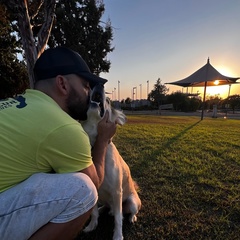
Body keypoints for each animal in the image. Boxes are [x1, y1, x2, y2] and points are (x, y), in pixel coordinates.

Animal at [81, 84, 141, 240]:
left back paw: (131, 218)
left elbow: (118, 219)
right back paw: (104, 209)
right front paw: (91, 226)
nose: (98, 85)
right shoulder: (95, 188)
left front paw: (118, 236)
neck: (95, 144)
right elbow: (94, 212)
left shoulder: (117, 191)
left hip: (132, 202)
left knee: (129, 212)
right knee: (108, 208)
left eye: (108, 101)